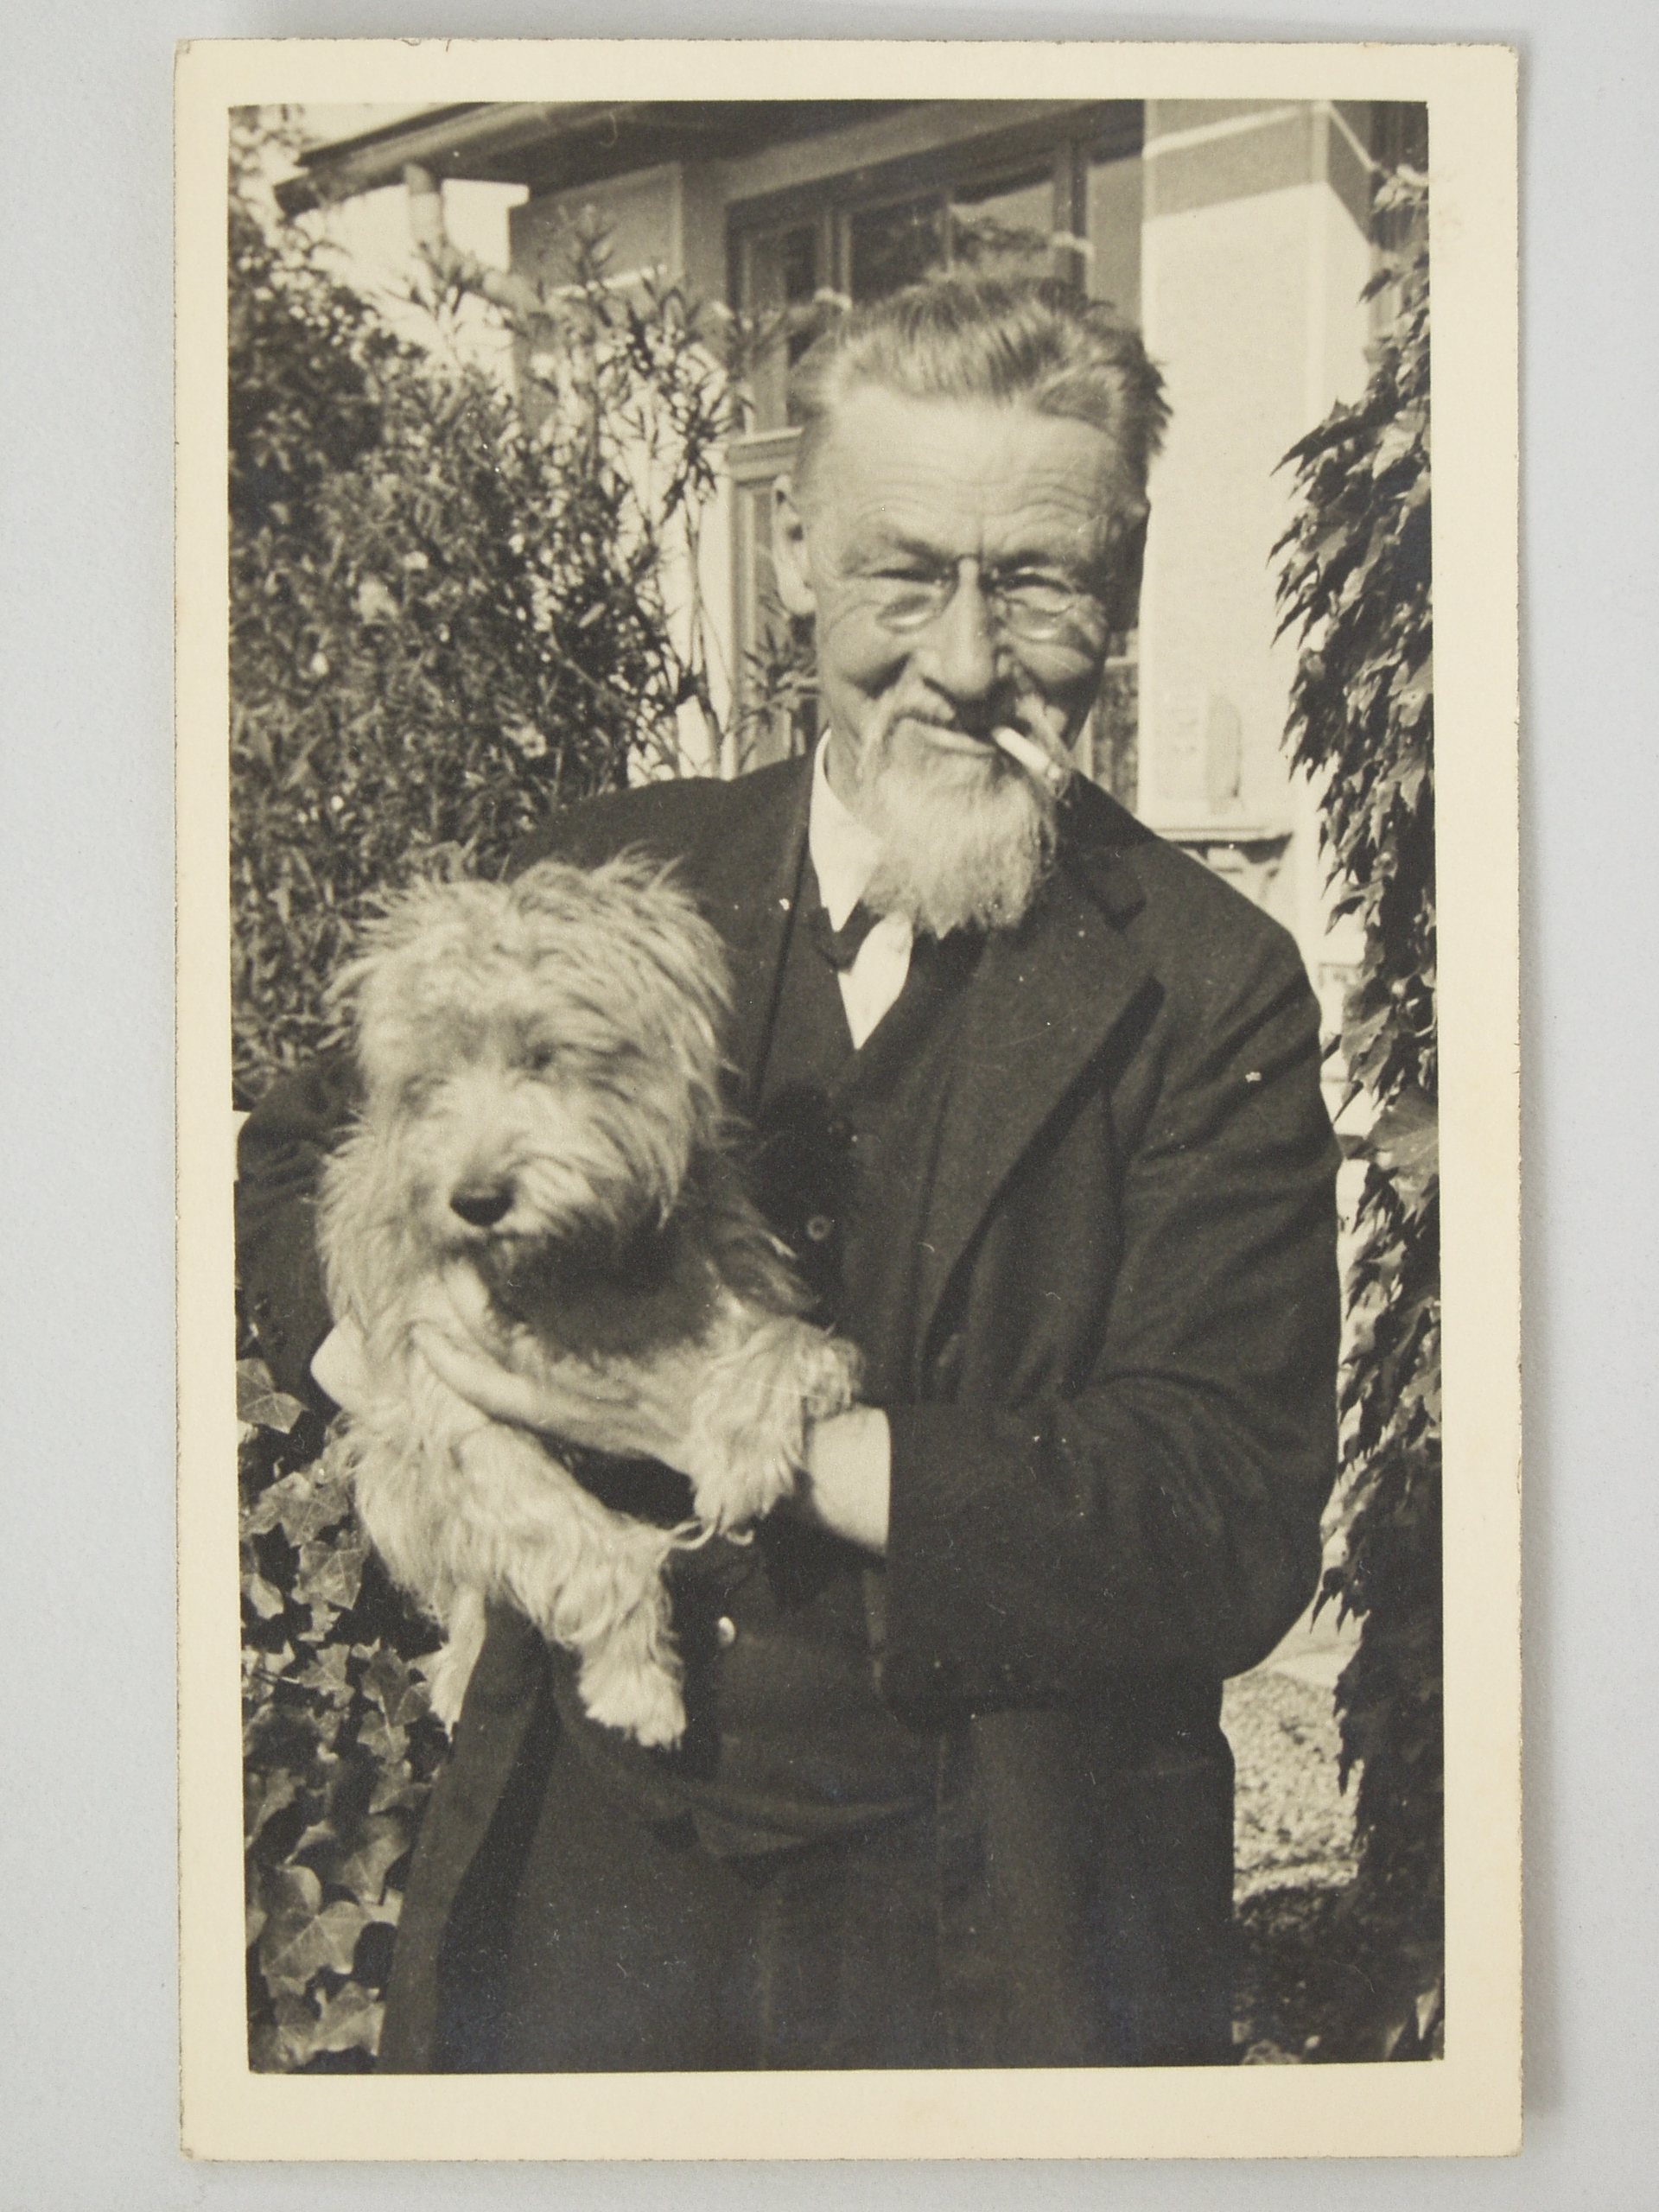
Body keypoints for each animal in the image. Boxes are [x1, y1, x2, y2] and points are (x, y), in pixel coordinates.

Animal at [316, 858, 858, 1743]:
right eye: (430, 1083)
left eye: (544, 1056)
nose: (475, 1200)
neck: (573, 1261)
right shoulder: (449, 1397)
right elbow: (578, 1540)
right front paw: (638, 1680)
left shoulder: (738, 1271)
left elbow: (789, 1339)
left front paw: (743, 1442)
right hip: (389, 1474)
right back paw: (462, 1666)